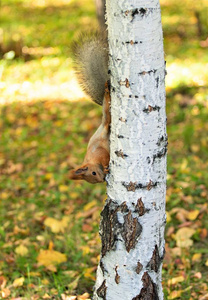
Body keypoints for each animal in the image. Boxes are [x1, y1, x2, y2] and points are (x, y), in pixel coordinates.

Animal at [68, 32, 110, 183]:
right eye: (94, 180)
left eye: (93, 173)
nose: (102, 180)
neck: (92, 160)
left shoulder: (100, 152)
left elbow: (105, 157)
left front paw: (106, 166)